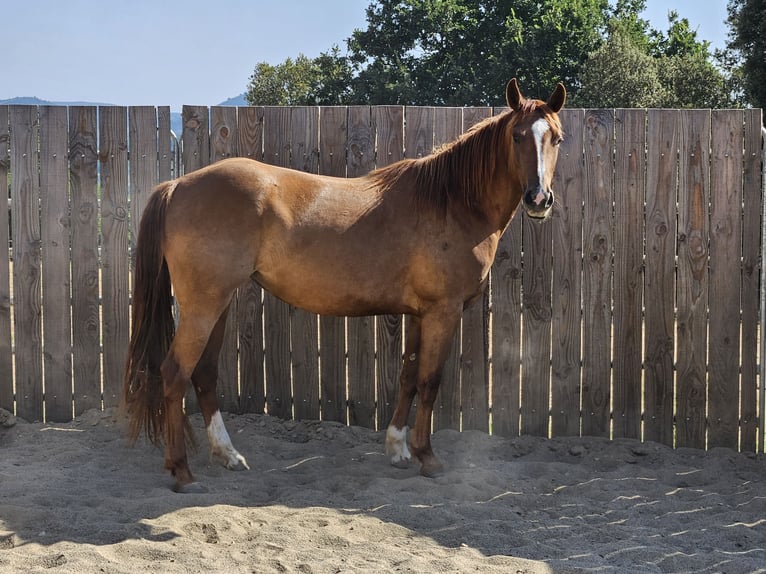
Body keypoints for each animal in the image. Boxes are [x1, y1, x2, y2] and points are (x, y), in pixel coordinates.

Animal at [122, 78, 566, 492]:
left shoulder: (420, 314)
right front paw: (427, 456)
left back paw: (228, 455)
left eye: (556, 138)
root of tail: (177, 185)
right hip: (203, 306)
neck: (452, 202)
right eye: (517, 136)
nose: (538, 199)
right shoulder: (444, 311)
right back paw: (182, 470)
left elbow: (408, 376)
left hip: (220, 302)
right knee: (174, 372)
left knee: (204, 373)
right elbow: (429, 381)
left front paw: (397, 448)